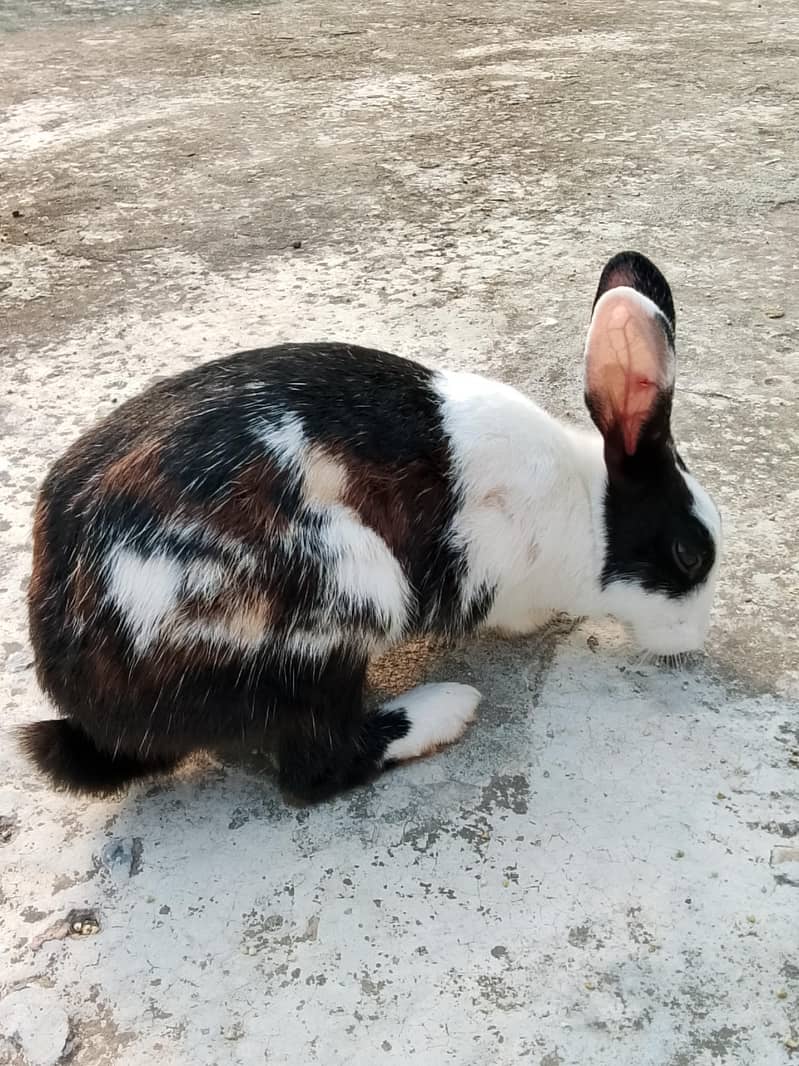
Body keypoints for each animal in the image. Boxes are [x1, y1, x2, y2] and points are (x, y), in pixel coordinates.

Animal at [21, 251, 721, 802]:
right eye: (689, 553)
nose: (693, 641)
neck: (585, 508)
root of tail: (90, 703)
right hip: (346, 595)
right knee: (316, 766)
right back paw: (445, 709)